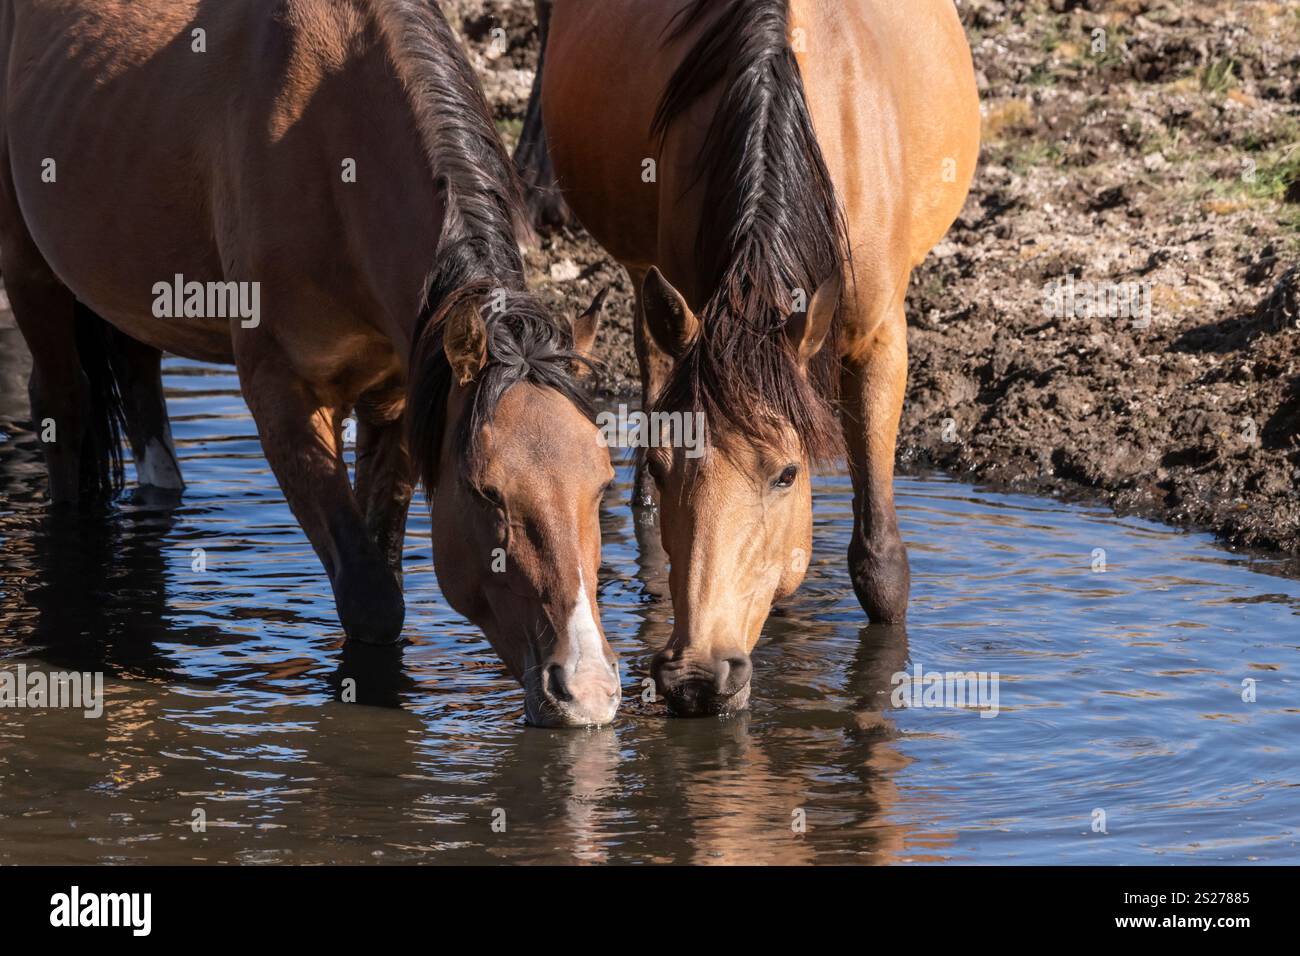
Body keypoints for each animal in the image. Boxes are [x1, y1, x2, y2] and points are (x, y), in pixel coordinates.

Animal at [0, 0, 621, 727]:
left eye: (603, 484)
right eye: (486, 491)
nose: (587, 688)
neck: (332, 151)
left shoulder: (401, 396)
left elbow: (384, 568)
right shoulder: (284, 393)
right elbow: (372, 599)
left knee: (136, 374)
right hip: (27, 263)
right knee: (63, 407)